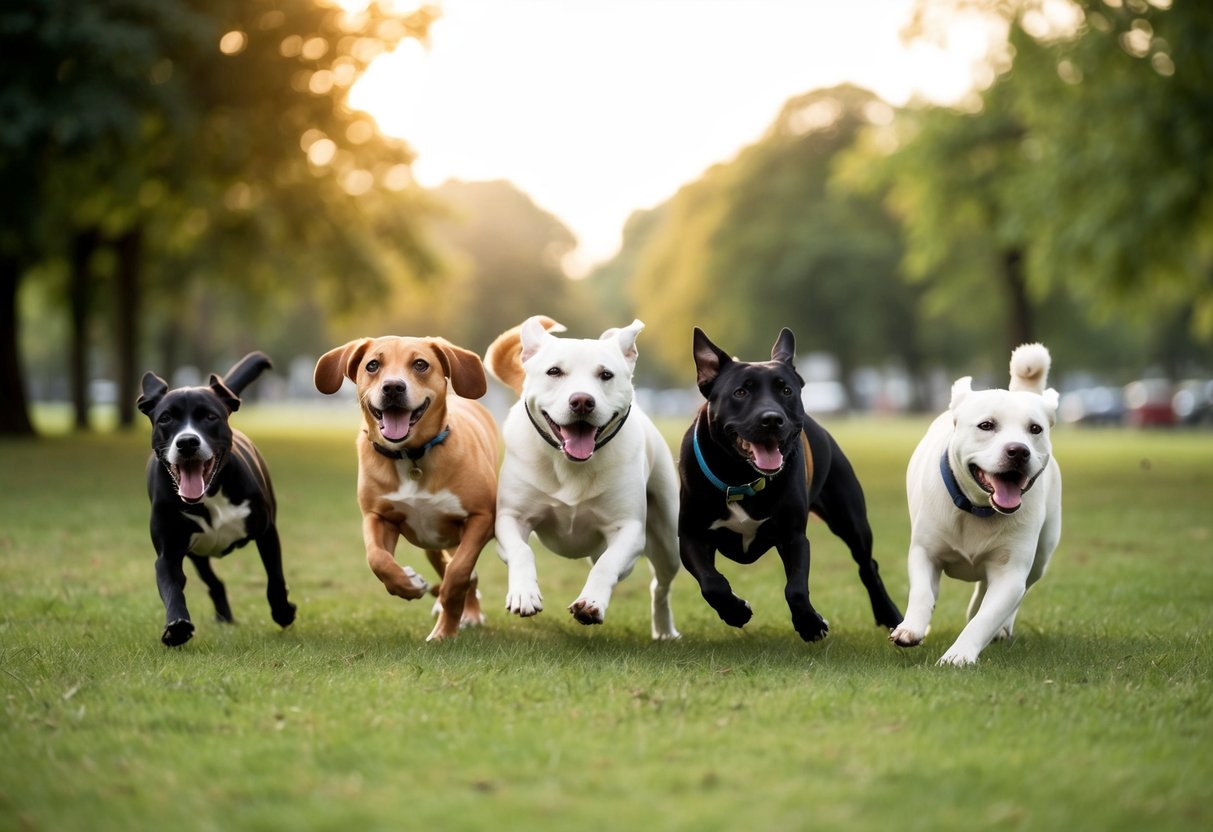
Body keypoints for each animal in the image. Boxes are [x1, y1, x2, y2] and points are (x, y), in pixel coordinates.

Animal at [137, 354, 295, 650]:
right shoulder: (168, 553)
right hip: (198, 555)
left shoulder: (267, 532)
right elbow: (172, 587)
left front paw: (283, 612)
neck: (209, 495)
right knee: (214, 582)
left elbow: (275, 578)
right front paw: (176, 627)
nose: (187, 442)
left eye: (210, 416)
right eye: (165, 418)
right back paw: (224, 617)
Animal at [317, 334, 502, 640]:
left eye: (420, 364)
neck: (410, 455)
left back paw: (469, 613)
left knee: (464, 573)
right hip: (433, 543)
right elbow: (377, 558)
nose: (393, 386)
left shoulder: (481, 517)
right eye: (372, 365)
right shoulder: (378, 517)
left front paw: (444, 633)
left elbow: (459, 573)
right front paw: (408, 583)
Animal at [485, 315, 679, 640]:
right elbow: (521, 551)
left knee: (660, 586)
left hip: (668, 540)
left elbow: (607, 565)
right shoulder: (511, 518)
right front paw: (524, 594)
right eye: (554, 371)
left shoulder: (629, 529)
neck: (571, 464)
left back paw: (664, 630)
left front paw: (591, 603)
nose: (582, 401)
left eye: (606, 374)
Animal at [679, 329, 907, 640]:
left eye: (786, 391)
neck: (741, 479)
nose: (772, 419)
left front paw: (810, 624)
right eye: (740, 392)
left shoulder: (793, 536)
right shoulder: (691, 536)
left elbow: (795, 588)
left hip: (851, 520)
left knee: (867, 566)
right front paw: (736, 611)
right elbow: (712, 584)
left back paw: (890, 614)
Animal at [892, 344, 1062, 664]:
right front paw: (911, 628)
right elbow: (922, 592)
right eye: (986, 425)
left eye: (1035, 429)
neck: (978, 508)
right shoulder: (925, 552)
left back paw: (1000, 628)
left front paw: (959, 655)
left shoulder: (1011, 572)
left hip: (1041, 556)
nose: (1018, 451)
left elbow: (987, 616)